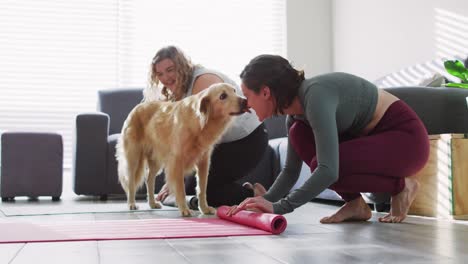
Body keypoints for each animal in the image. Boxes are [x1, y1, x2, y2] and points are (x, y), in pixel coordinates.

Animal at [116, 83, 249, 217]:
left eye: (234, 91)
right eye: (223, 96)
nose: (245, 101)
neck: (199, 122)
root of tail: (136, 108)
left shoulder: (204, 162)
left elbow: (202, 189)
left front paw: (204, 208)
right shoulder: (177, 162)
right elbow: (181, 189)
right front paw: (184, 209)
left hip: (156, 161)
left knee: (149, 179)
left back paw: (152, 203)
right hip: (133, 158)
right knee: (131, 183)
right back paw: (131, 203)